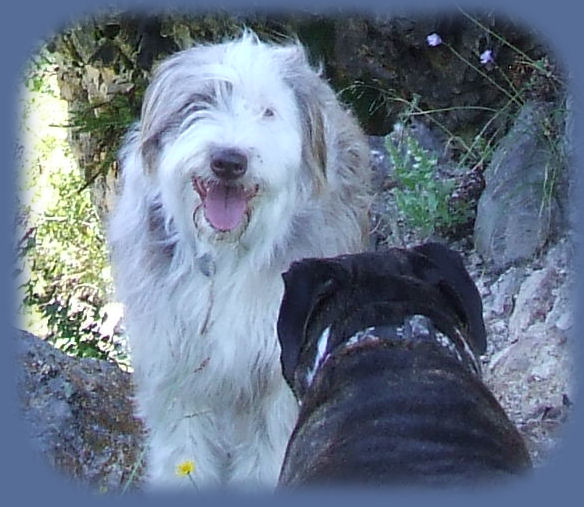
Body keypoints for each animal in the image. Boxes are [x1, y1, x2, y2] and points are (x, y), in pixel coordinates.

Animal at [108, 29, 372, 490]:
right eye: (200, 102)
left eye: (268, 111)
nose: (228, 161)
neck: (225, 256)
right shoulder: (174, 368)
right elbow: (184, 453)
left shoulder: (278, 375)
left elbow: (269, 454)